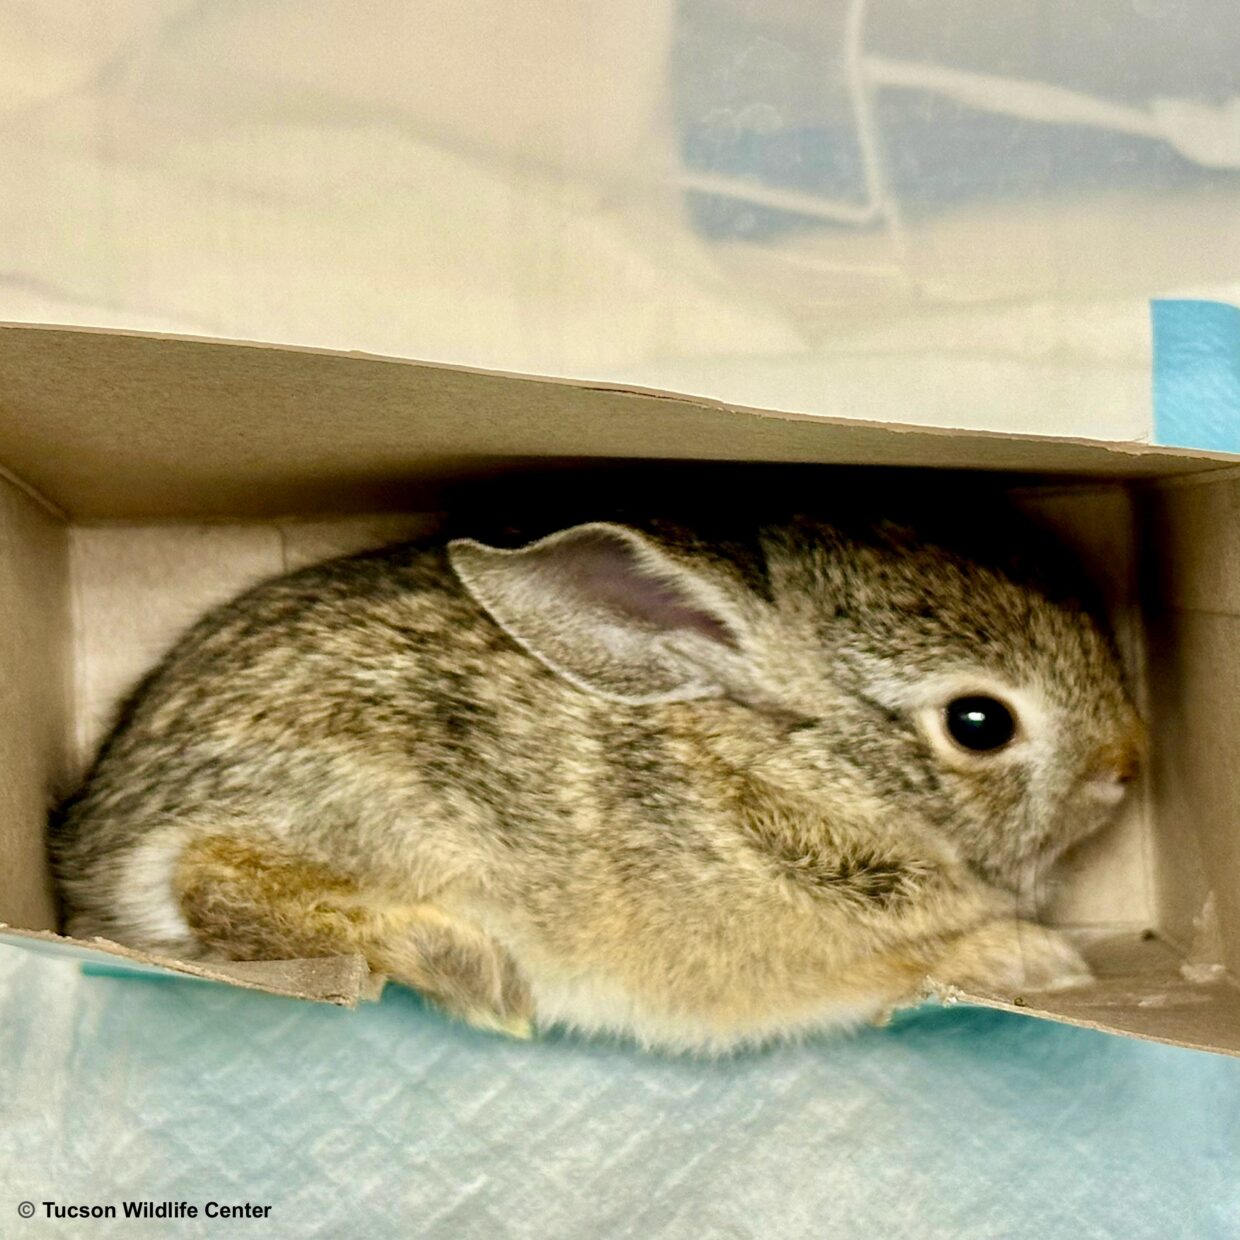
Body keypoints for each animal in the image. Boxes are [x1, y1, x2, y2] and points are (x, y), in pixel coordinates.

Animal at [55, 508, 1140, 1051]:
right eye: (979, 723)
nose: (1127, 764)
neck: (801, 777)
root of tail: (92, 837)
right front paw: (1040, 960)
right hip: (376, 806)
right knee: (214, 877)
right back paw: (465, 965)